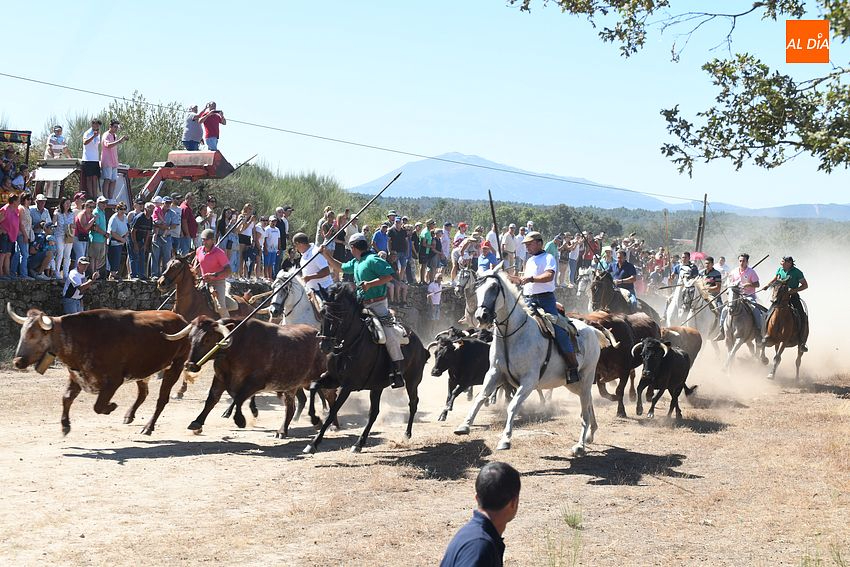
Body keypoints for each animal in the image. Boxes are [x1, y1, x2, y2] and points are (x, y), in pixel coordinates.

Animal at [303, 282, 429, 454]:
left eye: (338, 315)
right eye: (322, 313)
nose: (325, 345)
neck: (350, 344)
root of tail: (420, 344)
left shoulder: (347, 386)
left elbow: (332, 411)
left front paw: (314, 443)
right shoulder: (333, 378)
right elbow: (314, 385)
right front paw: (314, 418)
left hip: (412, 382)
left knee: (413, 403)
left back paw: (406, 434)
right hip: (377, 386)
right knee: (374, 413)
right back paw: (359, 443)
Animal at [453, 265, 608, 454]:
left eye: (494, 288)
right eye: (477, 290)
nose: (482, 316)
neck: (511, 335)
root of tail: (592, 330)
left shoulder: (528, 381)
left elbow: (513, 405)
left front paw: (505, 439)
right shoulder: (494, 373)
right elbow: (480, 397)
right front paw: (464, 426)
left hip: (585, 378)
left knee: (584, 409)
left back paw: (580, 445)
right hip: (573, 384)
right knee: (589, 402)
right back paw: (591, 433)